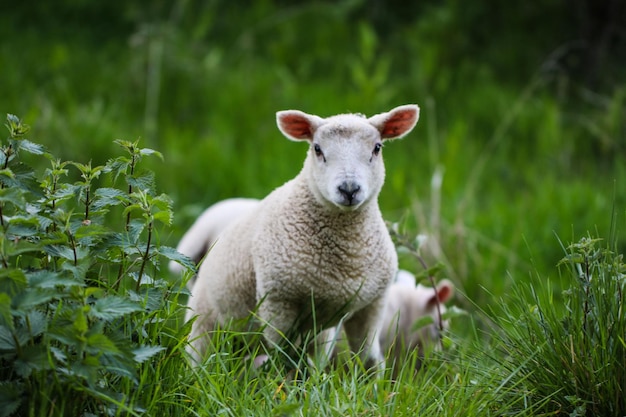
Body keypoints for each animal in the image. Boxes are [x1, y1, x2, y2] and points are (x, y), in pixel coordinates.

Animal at [185, 104, 420, 368]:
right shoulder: (278, 302)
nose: (349, 189)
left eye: (377, 148)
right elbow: (283, 358)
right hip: (204, 325)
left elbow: (367, 358)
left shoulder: (372, 305)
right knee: (201, 359)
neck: (349, 255)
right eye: (317, 149)